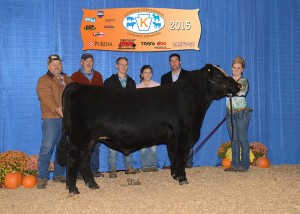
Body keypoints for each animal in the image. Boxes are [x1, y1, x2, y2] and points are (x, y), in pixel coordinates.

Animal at [56, 63, 239, 194]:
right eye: (219, 76)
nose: (237, 85)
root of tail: (78, 86)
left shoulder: (173, 138)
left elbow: (173, 156)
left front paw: (174, 175)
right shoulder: (183, 133)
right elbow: (181, 156)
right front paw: (182, 178)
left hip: (90, 140)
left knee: (84, 159)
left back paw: (92, 184)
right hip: (78, 137)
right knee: (73, 158)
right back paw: (73, 188)